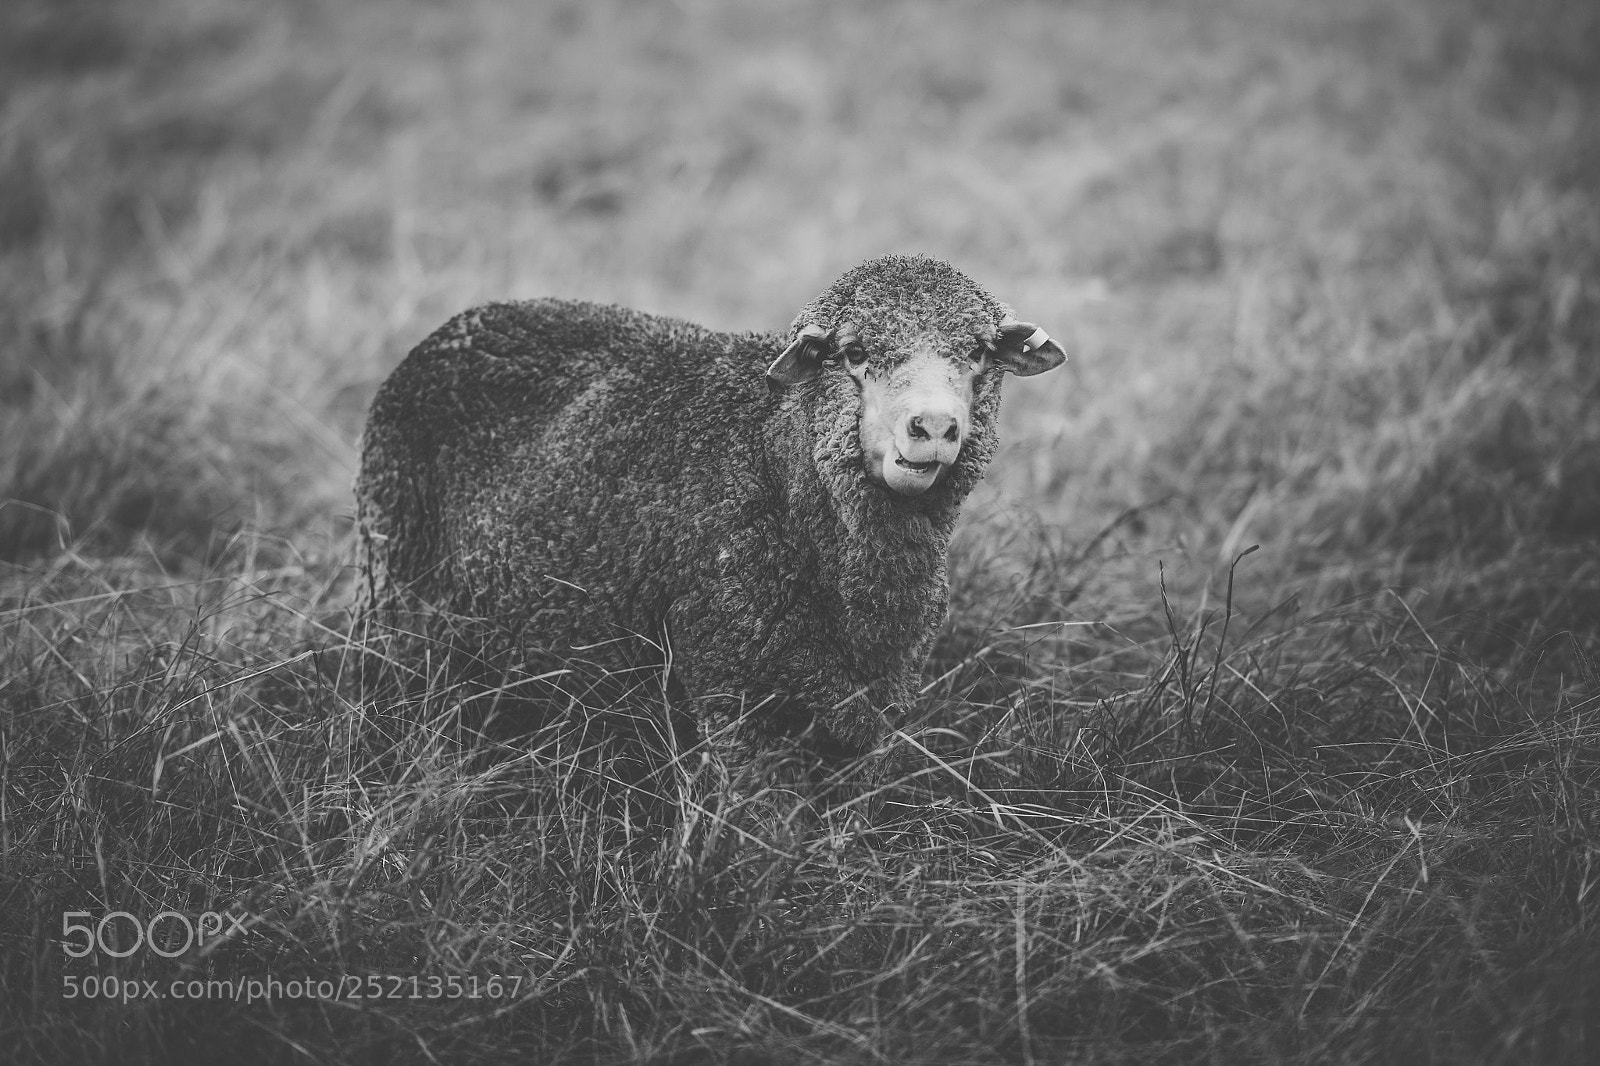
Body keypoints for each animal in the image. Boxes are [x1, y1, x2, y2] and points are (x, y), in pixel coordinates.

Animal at [355, 254, 1065, 769]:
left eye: (977, 353)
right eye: (853, 353)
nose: (934, 427)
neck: (777, 466)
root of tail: (464, 320)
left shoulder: (873, 706)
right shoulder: (729, 690)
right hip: (394, 582)